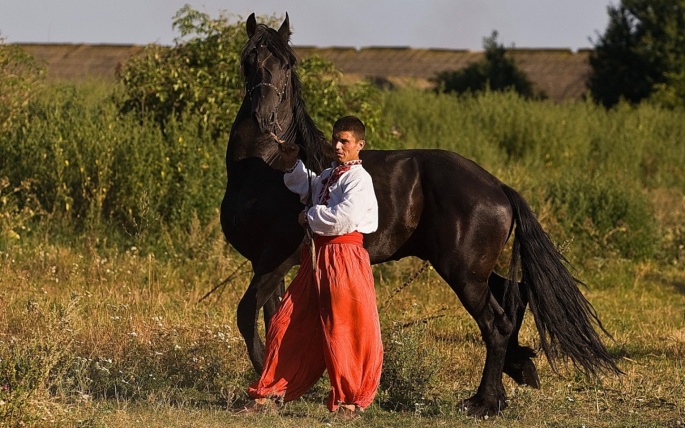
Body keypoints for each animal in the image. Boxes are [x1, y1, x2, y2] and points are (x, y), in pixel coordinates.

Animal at [220, 13, 620, 417]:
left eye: (288, 64)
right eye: (249, 58)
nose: (266, 119)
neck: (266, 166)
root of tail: (498, 187)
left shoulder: (277, 258)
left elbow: (247, 313)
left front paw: (264, 388)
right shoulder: (266, 262)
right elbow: (272, 319)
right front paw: (272, 386)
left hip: (462, 272)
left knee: (496, 323)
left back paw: (484, 401)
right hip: (472, 269)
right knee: (515, 296)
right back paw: (515, 372)